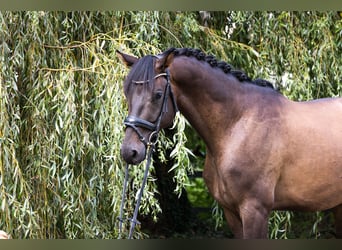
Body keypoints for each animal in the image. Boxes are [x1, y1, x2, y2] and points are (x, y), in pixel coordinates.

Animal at [117, 47, 342, 238]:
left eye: (157, 95)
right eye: (126, 92)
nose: (130, 151)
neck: (237, 124)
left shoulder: (255, 211)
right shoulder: (231, 213)